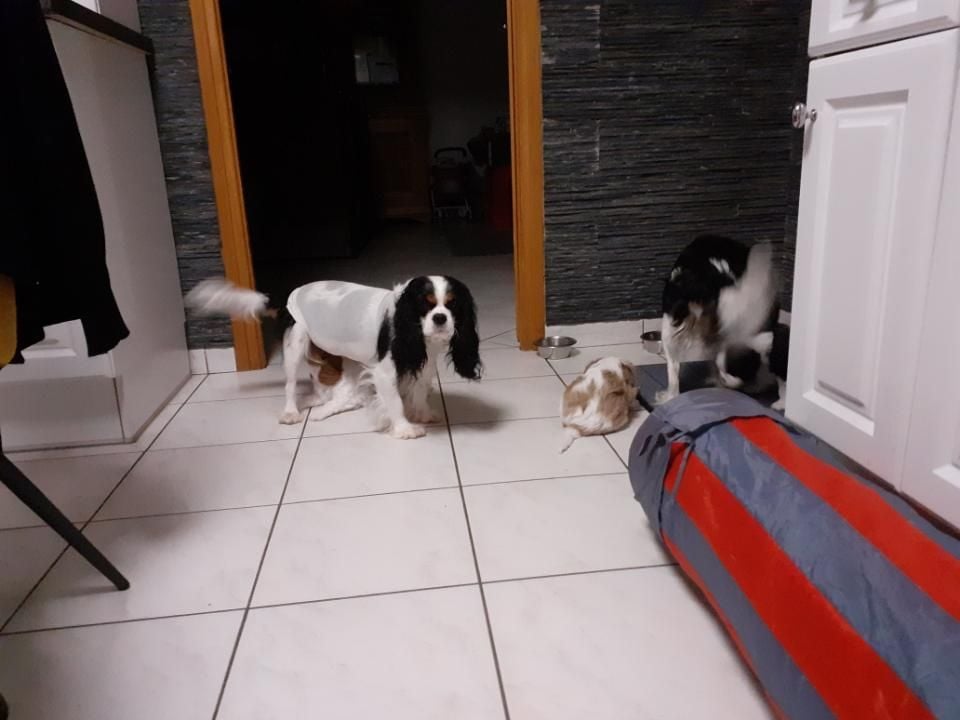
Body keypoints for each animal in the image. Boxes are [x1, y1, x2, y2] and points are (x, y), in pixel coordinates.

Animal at [186, 275, 482, 439]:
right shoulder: (384, 370)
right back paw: (291, 412)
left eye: (453, 304)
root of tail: (290, 293)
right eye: (425, 304)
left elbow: (420, 389)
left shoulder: (426, 361)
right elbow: (394, 401)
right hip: (296, 342)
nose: (441, 318)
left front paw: (422, 413)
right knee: (291, 384)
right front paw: (404, 429)